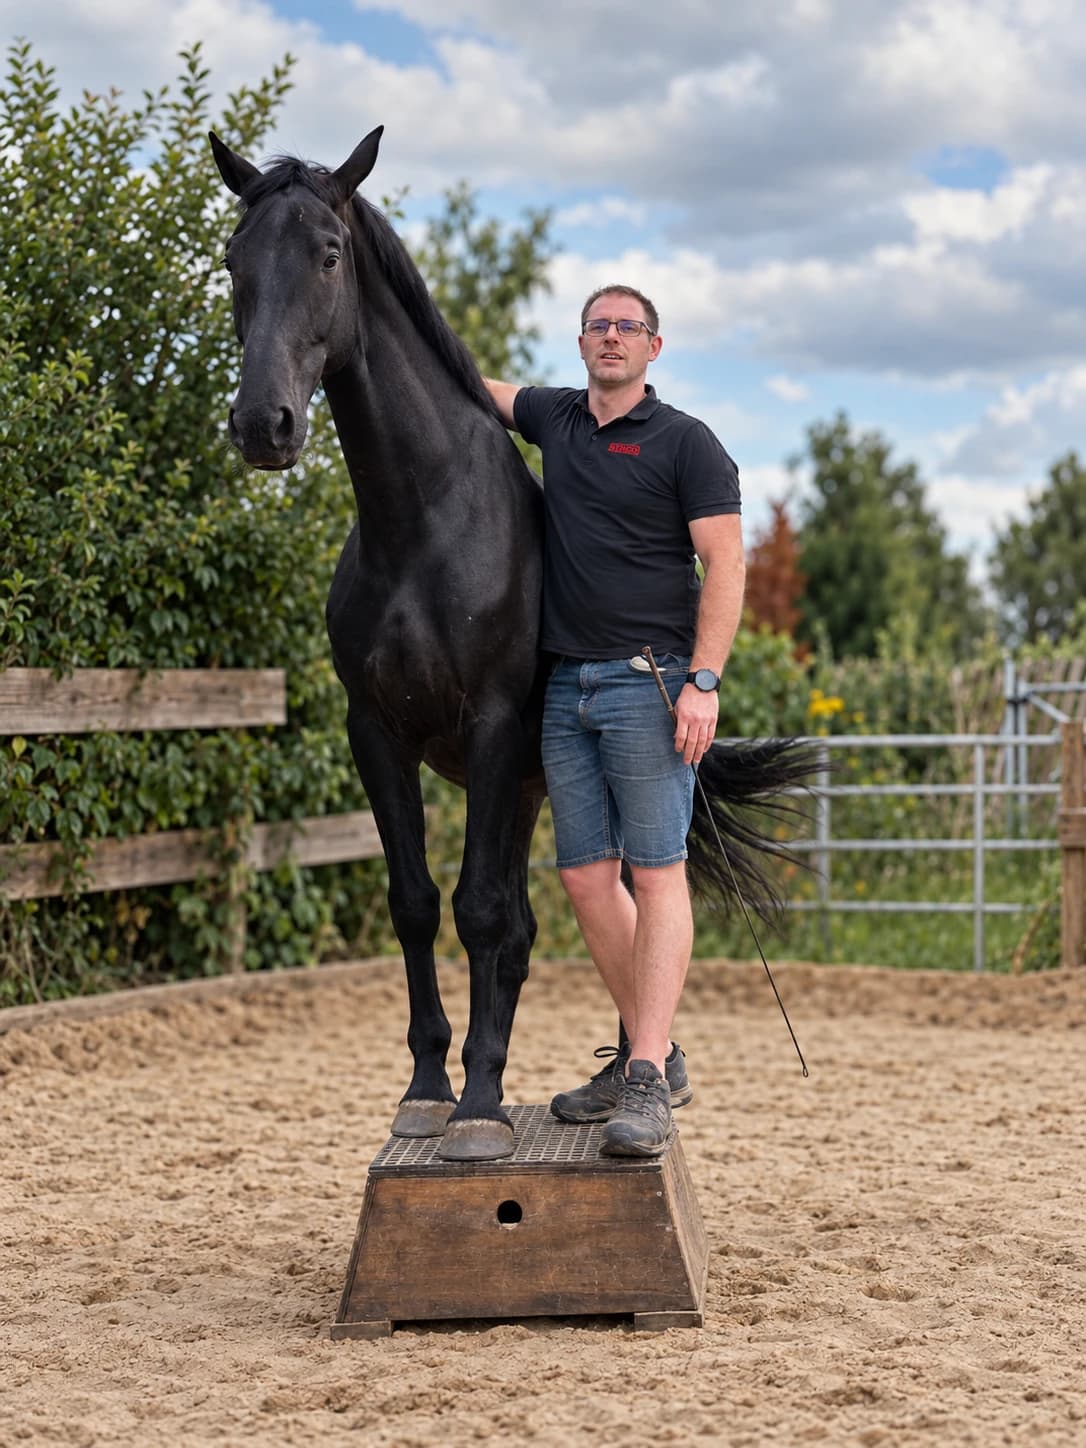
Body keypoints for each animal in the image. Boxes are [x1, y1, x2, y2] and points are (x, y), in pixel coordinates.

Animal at [209, 126, 813, 1161]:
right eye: (233, 262)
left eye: (327, 254)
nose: (263, 424)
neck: (423, 522)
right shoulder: (376, 733)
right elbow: (417, 902)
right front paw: (427, 1089)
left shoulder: (488, 728)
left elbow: (480, 910)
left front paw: (482, 1107)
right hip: (538, 789)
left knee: (628, 908)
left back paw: (643, 1079)